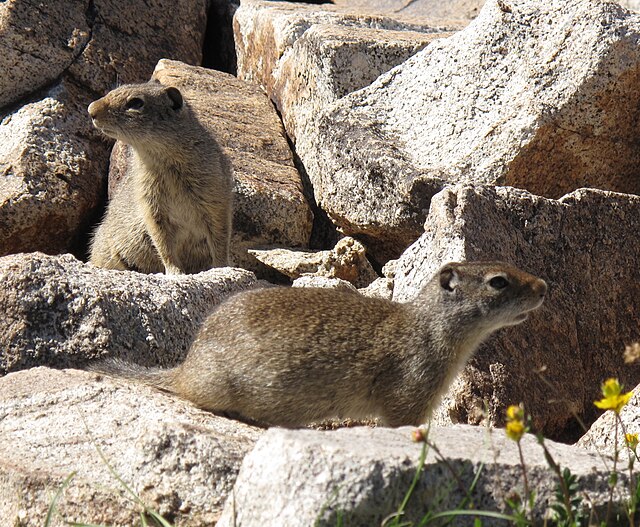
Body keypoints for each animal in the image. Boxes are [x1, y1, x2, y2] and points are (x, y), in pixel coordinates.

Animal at [86, 82, 234, 274]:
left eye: (136, 102)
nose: (91, 110)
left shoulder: (216, 199)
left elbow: (220, 239)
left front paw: (222, 267)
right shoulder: (151, 205)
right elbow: (163, 243)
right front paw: (175, 272)